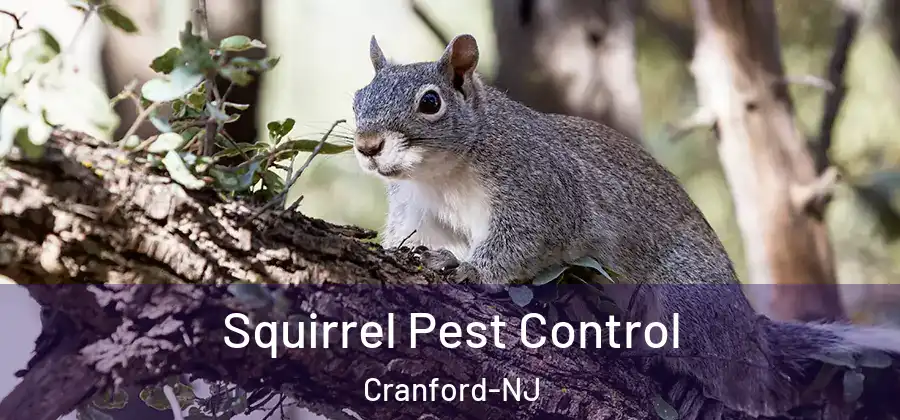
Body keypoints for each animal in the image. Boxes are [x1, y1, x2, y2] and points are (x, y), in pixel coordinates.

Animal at [351, 34, 900, 418]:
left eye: (430, 103)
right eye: (358, 96)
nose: (366, 145)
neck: (442, 173)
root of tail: (751, 333)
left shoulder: (543, 190)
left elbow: (523, 241)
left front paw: (469, 270)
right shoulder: (418, 211)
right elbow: (411, 238)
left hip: (688, 301)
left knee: (743, 383)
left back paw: (702, 392)